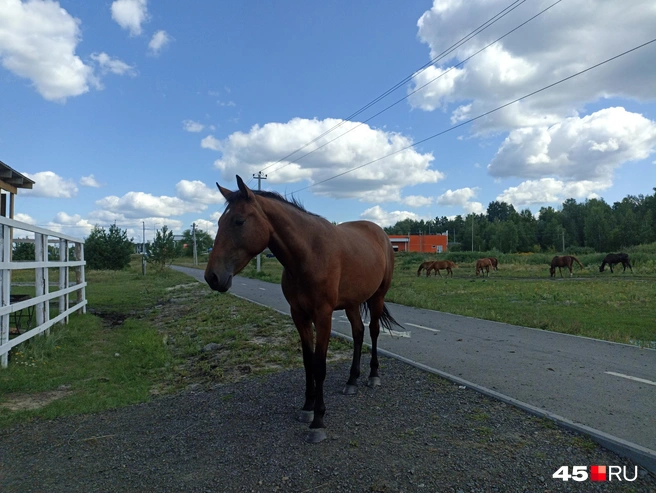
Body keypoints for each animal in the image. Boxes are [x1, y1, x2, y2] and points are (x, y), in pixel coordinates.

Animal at [204, 176, 401, 443]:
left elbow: (320, 365)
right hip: (351, 303)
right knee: (359, 333)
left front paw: (318, 421)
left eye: (239, 221)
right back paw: (352, 380)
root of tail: (380, 233)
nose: (212, 277)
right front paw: (307, 408)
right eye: (218, 222)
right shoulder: (299, 315)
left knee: (373, 332)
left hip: (377, 297)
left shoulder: (323, 315)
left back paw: (373, 376)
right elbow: (308, 362)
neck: (309, 254)